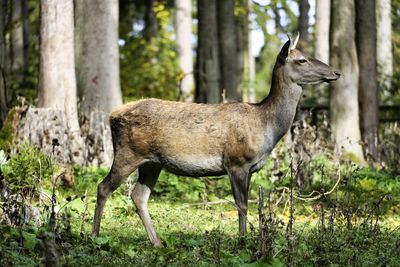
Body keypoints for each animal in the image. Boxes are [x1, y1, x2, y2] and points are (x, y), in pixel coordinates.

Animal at [91, 34, 340, 248]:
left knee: (138, 196)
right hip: (127, 153)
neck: (266, 125)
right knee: (103, 187)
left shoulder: (249, 168)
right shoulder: (236, 162)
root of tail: (112, 115)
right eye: (302, 60)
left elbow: (250, 203)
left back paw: (158, 243)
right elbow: (242, 205)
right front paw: (243, 241)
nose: (336, 72)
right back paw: (94, 236)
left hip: (152, 163)